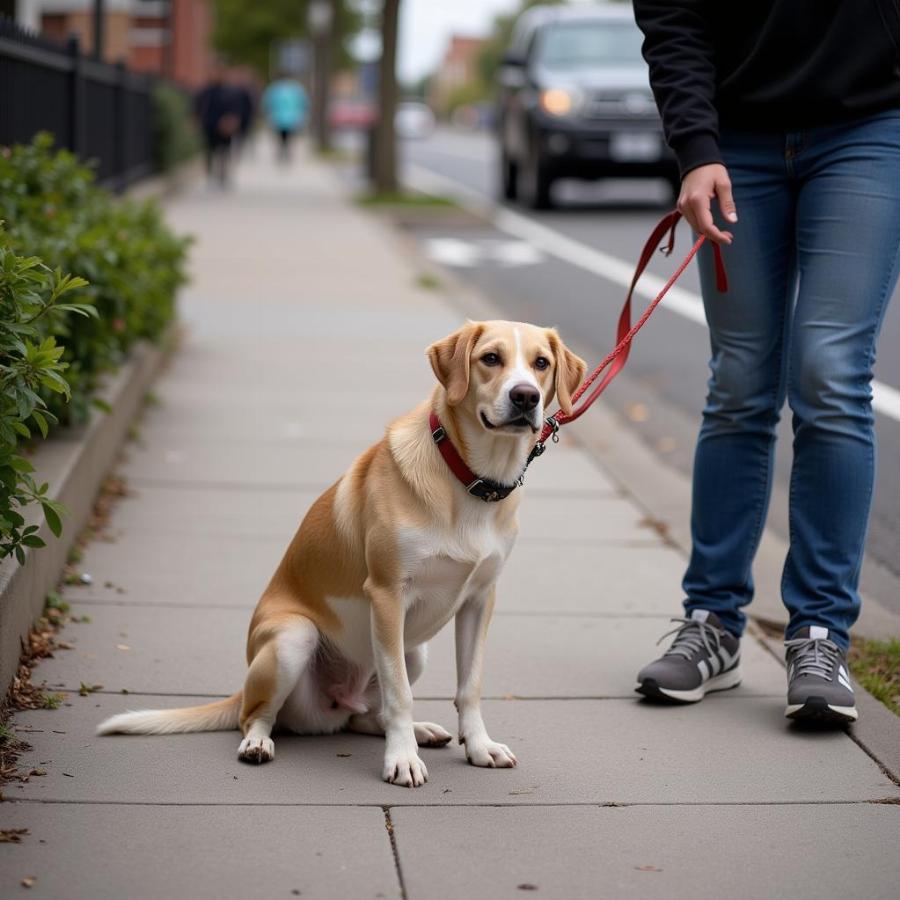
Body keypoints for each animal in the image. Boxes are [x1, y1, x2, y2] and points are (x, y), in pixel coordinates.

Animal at [98, 320, 588, 784]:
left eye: (541, 363)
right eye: (490, 358)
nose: (525, 397)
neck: (468, 481)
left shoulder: (479, 600)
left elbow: (469, 685)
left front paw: (479, 746)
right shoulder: (388, 595)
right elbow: (400, 694)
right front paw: (402, 760)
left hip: (414, 650)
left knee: (365, 715)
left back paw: (420, 731)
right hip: (294, 639)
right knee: (258, 716)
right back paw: (259, 743)